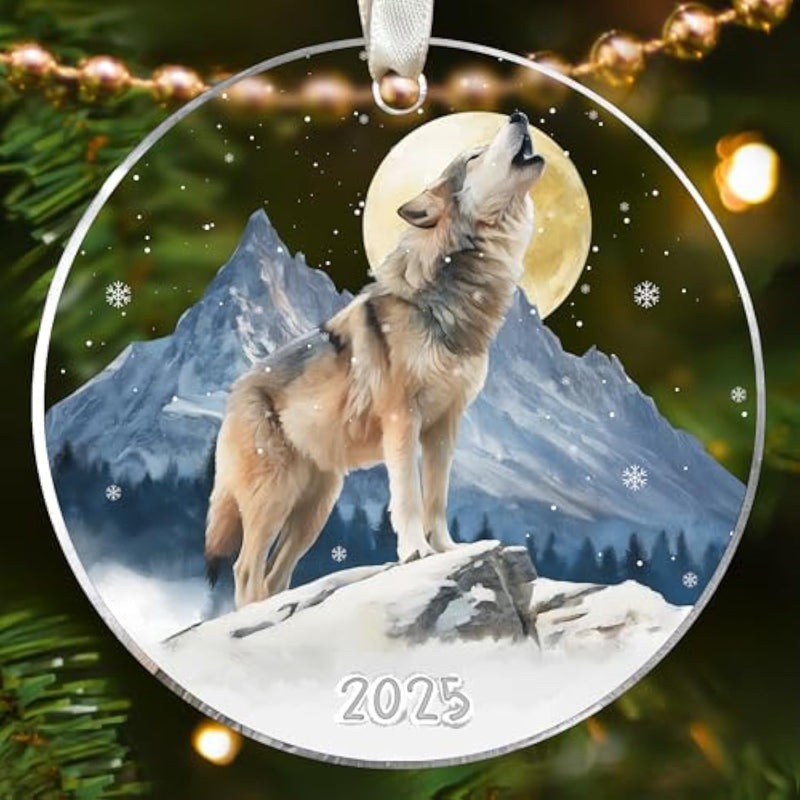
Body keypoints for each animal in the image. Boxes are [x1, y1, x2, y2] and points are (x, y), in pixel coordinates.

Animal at [205, 111, 546, 608]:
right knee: (246, 571)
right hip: (275, 498)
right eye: (474, 155)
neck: (446, 301)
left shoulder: (444, 426)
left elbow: (437, 498)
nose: (518, 115)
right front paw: (416, 552)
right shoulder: (401, 420)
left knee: (274, 575)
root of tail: (235, 389)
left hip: (317, 507)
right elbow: (408, 497)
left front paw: (448, 549)